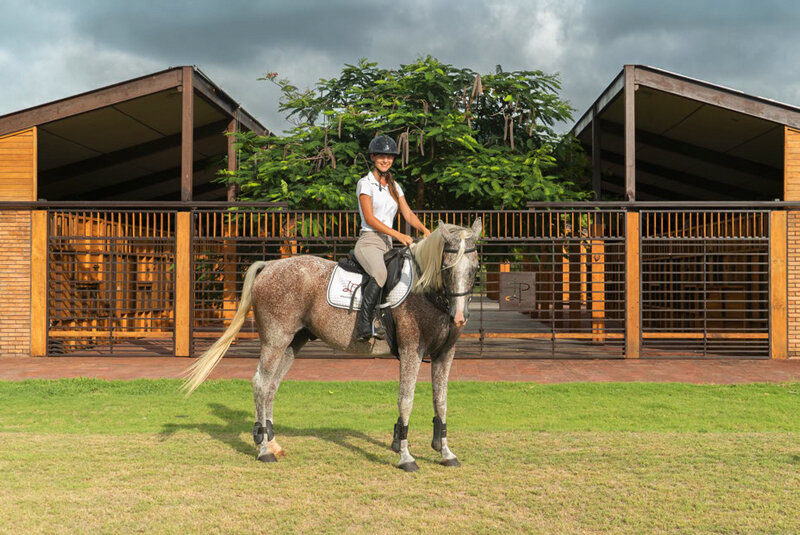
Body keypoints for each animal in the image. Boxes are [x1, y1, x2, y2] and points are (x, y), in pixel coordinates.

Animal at [183, 220, 482, 472]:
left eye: (475, 268)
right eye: (446, 266)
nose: (459, 317)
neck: (425, 291)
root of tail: (270, 266)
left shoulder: (445, 354)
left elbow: (441, 401)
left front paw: (445, 452)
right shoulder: (411, 352)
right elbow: (406, 400)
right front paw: (406, 457)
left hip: (292, 343)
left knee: (271, 386)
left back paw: (273, 444)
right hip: (275, 340)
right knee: (260, 382)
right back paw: (263, 450)